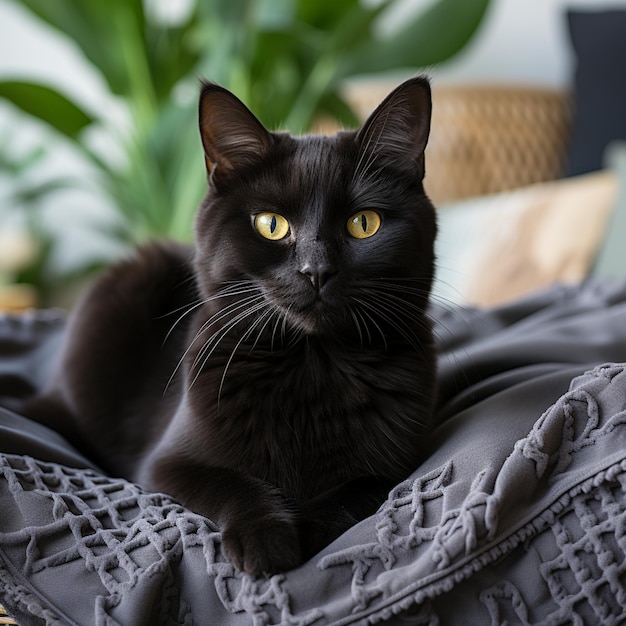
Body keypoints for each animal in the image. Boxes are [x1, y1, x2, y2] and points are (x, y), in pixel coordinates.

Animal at [26, 78, 436, 576]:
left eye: (364, 223)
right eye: (271, 224)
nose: (316, 270)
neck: (311, 367)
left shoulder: (396, 466)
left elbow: (352, 493)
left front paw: (309, 531)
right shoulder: (166, 465)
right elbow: (235, 484)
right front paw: (267, 541)